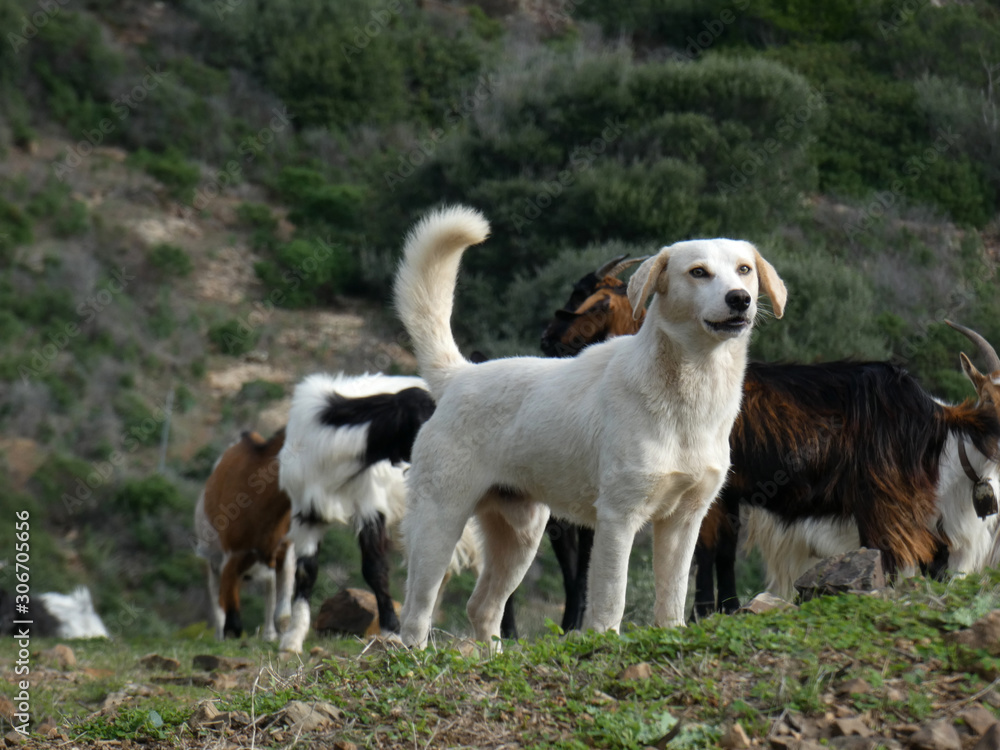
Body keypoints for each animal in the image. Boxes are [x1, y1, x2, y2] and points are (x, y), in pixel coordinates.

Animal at [394, 204, 784, 648]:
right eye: (698, 272)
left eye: (744, 270)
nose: (740, 299)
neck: (688, 393)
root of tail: (459, 376)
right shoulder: (618, 517)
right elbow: (611, 596)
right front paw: (605, 641)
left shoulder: (685, 519)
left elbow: (673, 594)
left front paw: (671, 634)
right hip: (439, 523)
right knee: (415, 613)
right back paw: (415, 656)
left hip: (521, 536)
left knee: (483, 608)